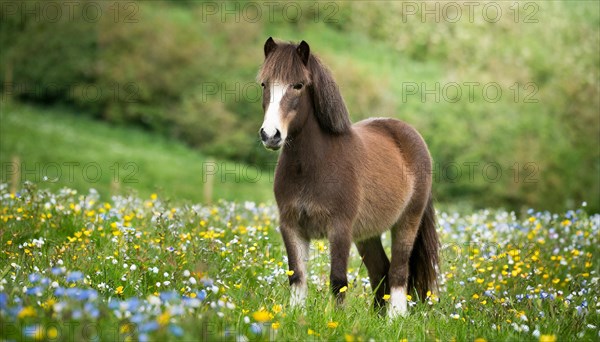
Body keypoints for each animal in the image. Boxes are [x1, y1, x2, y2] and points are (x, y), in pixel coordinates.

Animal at [255, 37, 438, 318]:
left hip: (408, 221)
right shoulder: (291, 226)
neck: (313, 166)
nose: (270, 135)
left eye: (298, 85)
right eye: (264, 84)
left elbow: (338, 281)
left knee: (398, 272)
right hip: (367, 234)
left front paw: (336, 322)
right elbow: (297, 276)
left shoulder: (340, 229)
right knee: (380, 270)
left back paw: (394, 320)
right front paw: (297, 317)